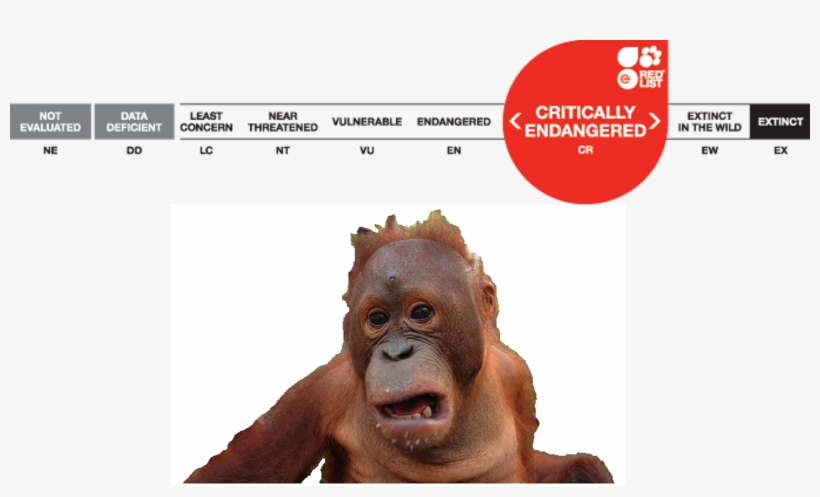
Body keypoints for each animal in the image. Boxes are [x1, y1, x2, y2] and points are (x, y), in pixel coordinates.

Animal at [184, 210, 613, 483]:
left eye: (421, 312)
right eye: (377, 320)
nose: (396, 353)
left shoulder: (517, 374)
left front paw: (584, 470)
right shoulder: (321, 392)